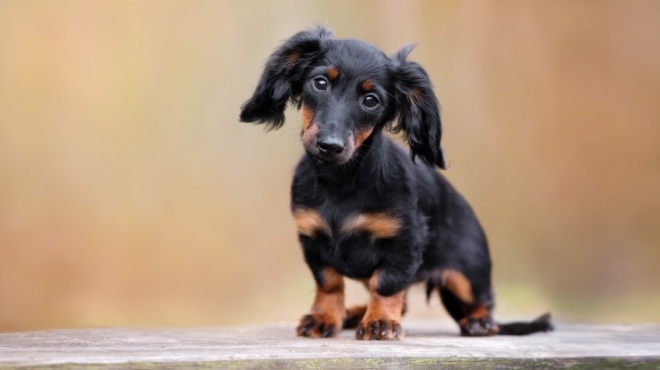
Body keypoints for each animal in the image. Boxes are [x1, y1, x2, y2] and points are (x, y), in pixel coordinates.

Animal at [237, 24, 552, 340]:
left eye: (371, 100)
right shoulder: (312, 238)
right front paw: (324, 317)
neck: (343, 180)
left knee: (482, 301)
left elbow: (387, 284)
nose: (330, 146)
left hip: (467, 273)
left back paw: (480, 322)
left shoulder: (404, 241)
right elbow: (329, 283)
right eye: (320, 83)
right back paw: (354, 313)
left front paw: (380, 321)